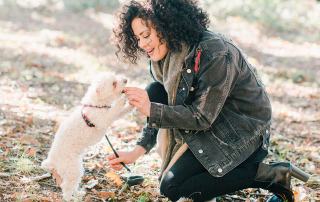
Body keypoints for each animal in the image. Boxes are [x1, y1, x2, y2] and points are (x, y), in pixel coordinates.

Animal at [41, 72, 134, 201]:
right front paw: (123, 99)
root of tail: (51, 160)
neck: (95, 104)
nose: (125, 80)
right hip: (71, 169)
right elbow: (116, 108)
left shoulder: (112, 114)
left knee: (74, 184)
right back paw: (70, 198)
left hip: (76, 168)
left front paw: (132, 104)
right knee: (66, 186)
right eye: (113, 84)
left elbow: (122, 111)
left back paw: (78, 193)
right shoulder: (104, 119)